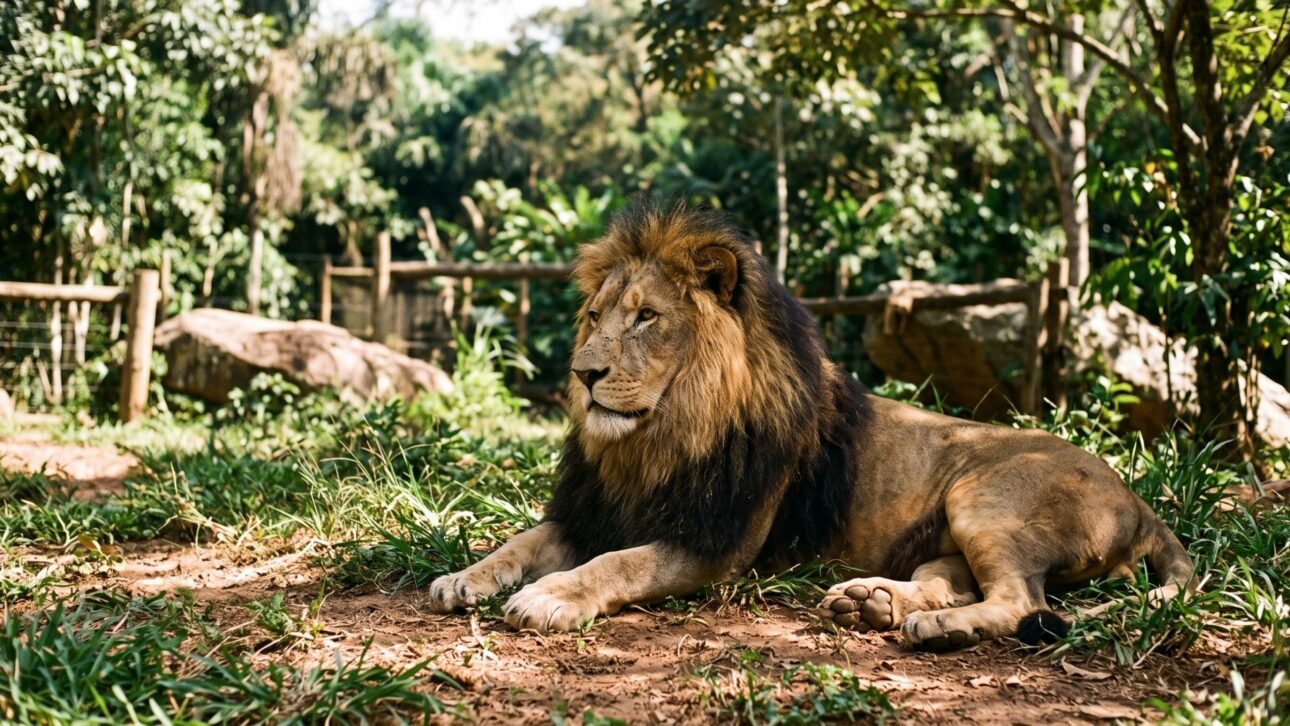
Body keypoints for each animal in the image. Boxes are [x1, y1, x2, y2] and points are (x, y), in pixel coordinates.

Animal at [427, 202, 1195, 650]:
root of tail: (1139, 501)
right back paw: (872, 603)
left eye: (645, 318)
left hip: (984, 492)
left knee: (1018, 600)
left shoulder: (717, 541)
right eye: (594, 316)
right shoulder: (592, 511)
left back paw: (932, 626)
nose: (584, 373)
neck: (658, 439)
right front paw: (462, 578)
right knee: (957, 580)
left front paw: (550, 596)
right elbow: (520, 542)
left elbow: (618, 563)